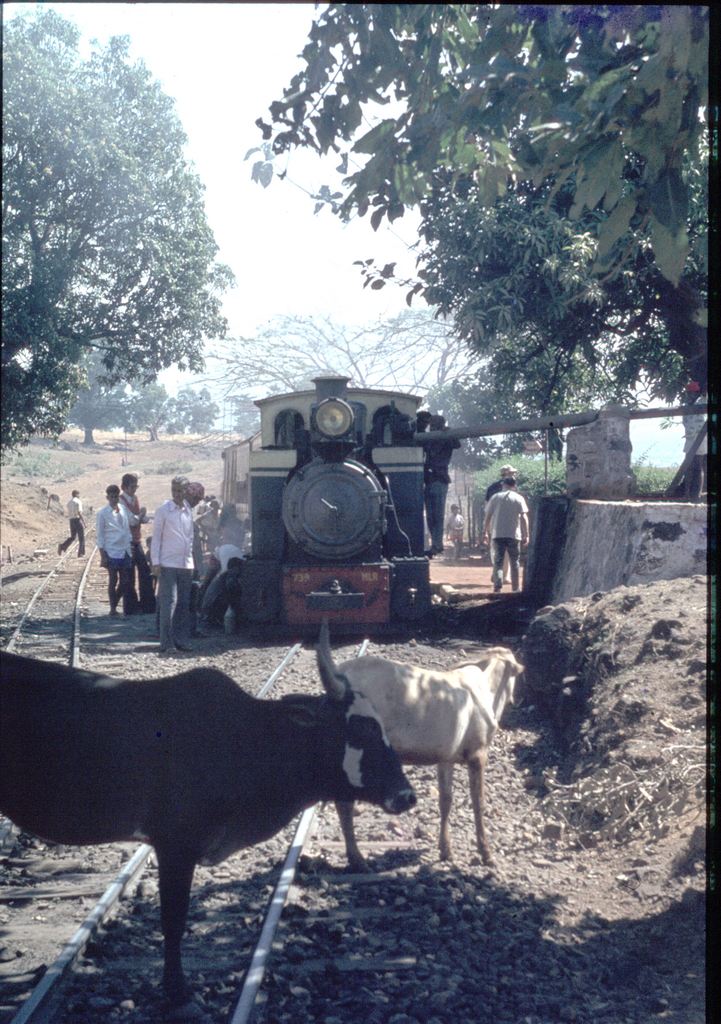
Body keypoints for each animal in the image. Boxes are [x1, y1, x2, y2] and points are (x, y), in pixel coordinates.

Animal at [0, 643, 415, 1009]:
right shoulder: (175, 846)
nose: (406, 795)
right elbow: (174, 920)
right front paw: (177, 991)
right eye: (361, 730)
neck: (245, 740)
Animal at [318, 633, 523, 871]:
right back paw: (358, 859)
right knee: (344, 804)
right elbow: (478, 802)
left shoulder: (446, 757)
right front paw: (486, 854)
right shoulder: (478, 754)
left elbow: (446, 800)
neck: (487, 689)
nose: (514, 699)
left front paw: (446, 850)